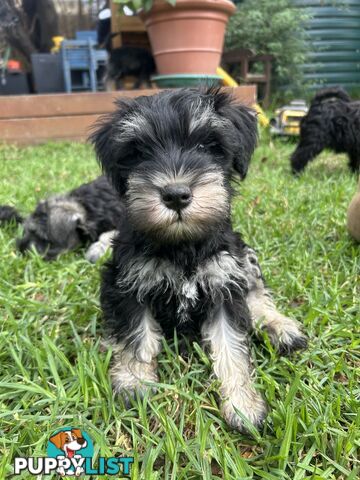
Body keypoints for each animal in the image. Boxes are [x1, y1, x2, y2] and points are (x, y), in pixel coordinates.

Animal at [92, 89, 306, 432]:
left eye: (207, 145)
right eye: (139, 152)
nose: (176, 194)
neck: (182, 244)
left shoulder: (224, 286)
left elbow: (231, 346)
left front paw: (243, 405)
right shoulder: (127, 282)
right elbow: (137, 335)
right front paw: (134, 381)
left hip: (245, 257)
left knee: (257, 295)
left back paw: (280, 327)